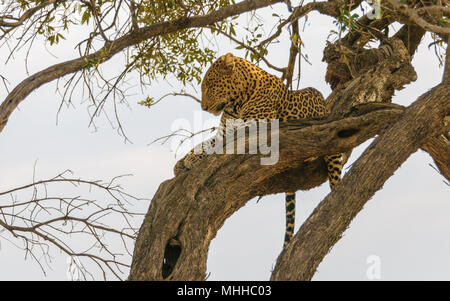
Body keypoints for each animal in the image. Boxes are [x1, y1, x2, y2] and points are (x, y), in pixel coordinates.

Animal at [174, 52, 342, 248]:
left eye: (210, 85)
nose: (204, 107)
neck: (236, 104)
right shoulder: (225, 132)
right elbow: (205, 144)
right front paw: (182, 162)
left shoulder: (253, 127)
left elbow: (216, 147)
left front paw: (190, 160)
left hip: (333, 154)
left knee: (335, 178)